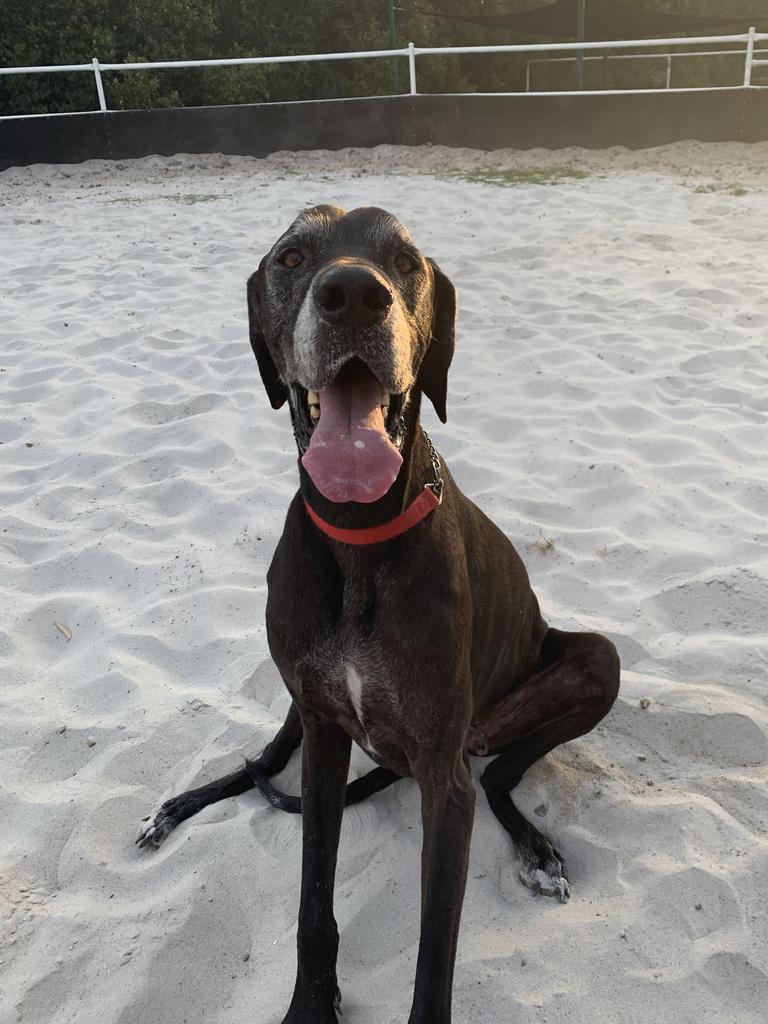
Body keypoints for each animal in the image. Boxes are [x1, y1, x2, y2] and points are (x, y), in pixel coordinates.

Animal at [137, 205, 618, 1024]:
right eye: (291, 257)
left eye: (407, 262)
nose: (355, 295)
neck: (359, 534)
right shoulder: (326, 736)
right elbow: (312, 904)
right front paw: (311, 1003)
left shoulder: (446, 788)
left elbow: (433, 959)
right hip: (303, 699)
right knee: (265, 761)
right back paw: (177, 808)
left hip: (584, 670)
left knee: (499, 776)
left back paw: (536, 850)